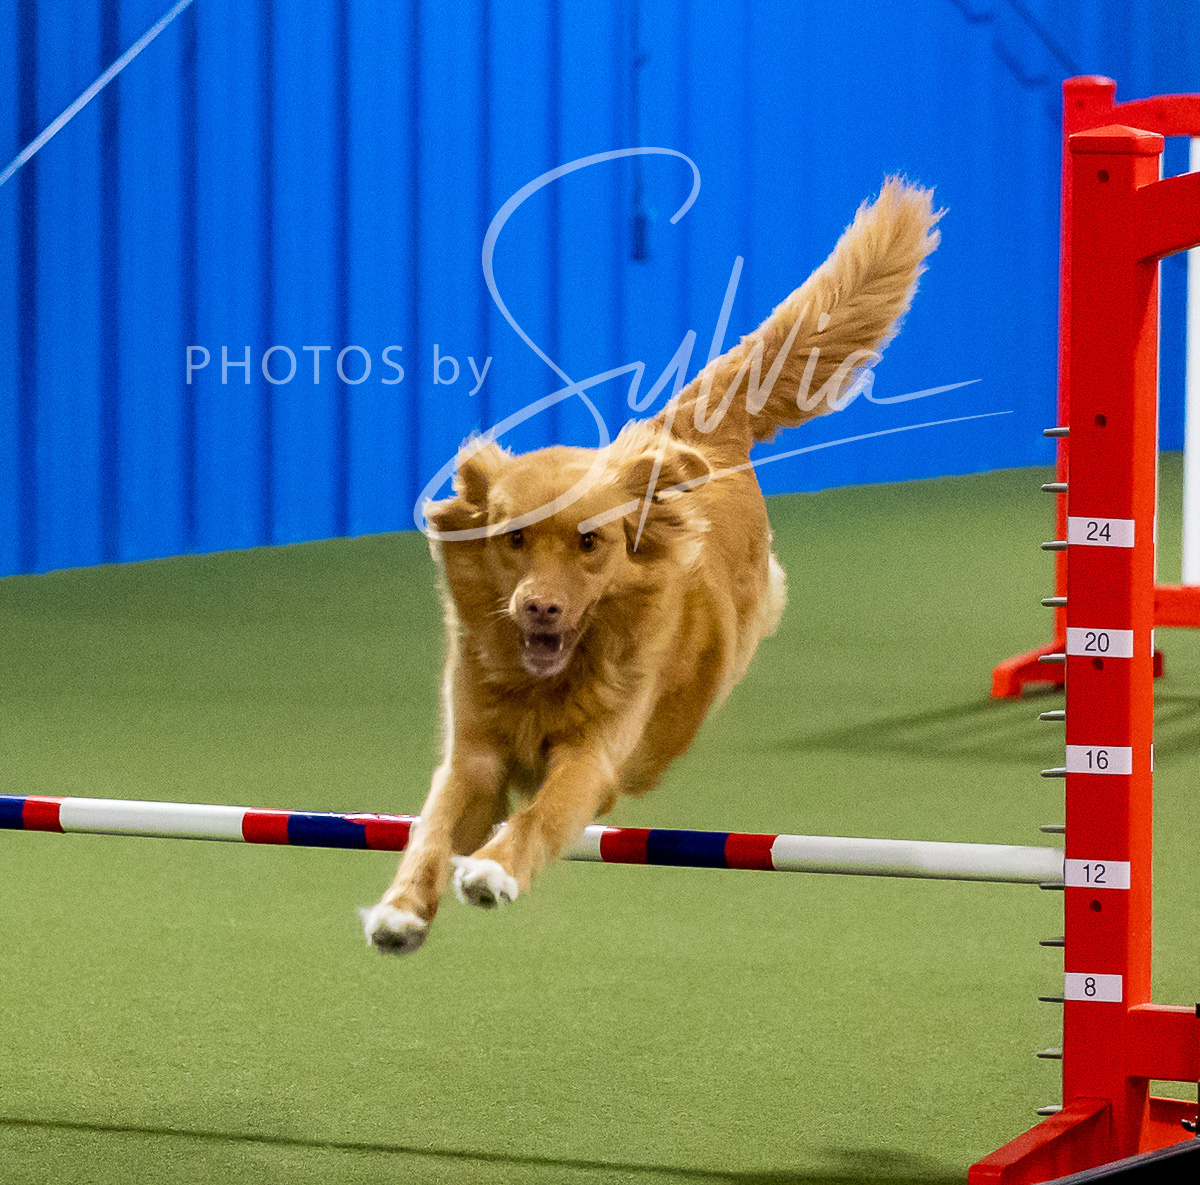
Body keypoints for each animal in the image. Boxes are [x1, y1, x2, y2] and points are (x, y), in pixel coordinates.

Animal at [360, 178, 940, 954]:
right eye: (514, 538)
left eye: (590, 543)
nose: (539, 607)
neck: (549, 680)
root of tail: (681, 432)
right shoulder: (472, 752)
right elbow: (429, 830)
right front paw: (400, 909)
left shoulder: (596, 754)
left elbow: (544, 811)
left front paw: (492, 869)